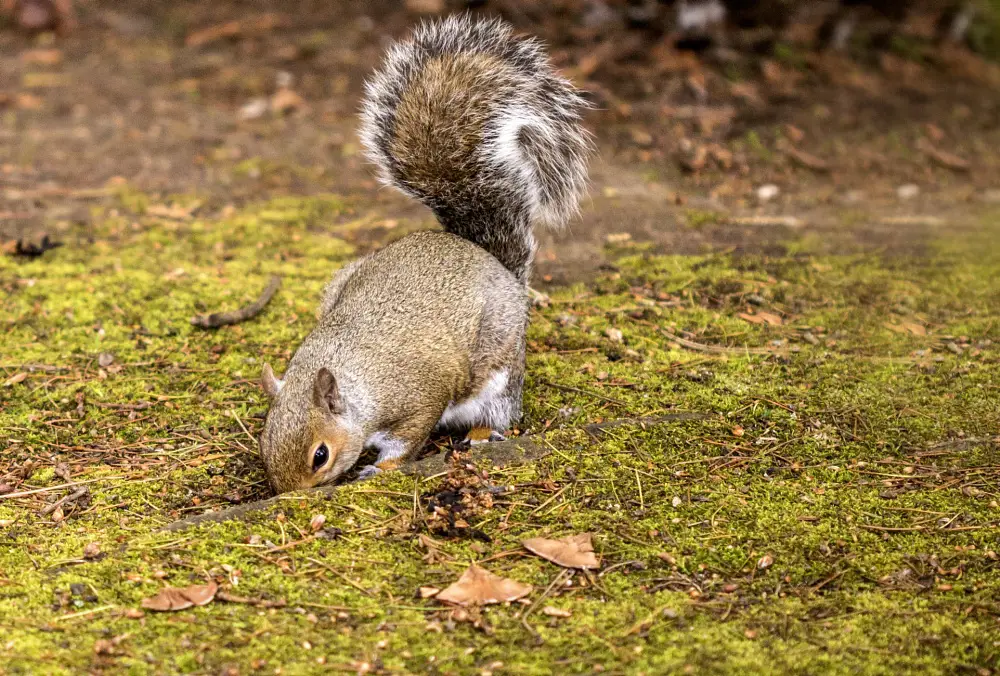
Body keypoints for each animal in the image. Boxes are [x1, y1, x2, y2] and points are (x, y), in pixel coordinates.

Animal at [254, 14, 592, 492]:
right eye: (264, 444)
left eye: (320, 455)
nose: (291, 497)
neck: (357, 377)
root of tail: (492, 261)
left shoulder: (418, 400)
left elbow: (408, 441)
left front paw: (382, 467)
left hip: (500, 369)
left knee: (501, 411)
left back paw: (482, 434)